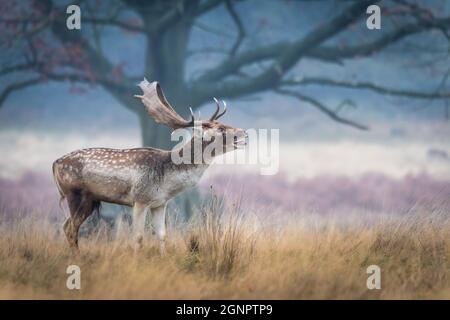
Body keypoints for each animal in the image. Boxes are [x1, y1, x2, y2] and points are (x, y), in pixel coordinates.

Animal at [54, 79, 248, 254]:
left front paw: (164, 258)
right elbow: (138, 237)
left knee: (66, 226)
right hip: (75, 194)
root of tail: (55, 163)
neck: (167, 180)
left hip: (90, 200)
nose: (244, 132)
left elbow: (162, 235)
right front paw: (136, 262)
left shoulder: (159, 203)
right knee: (71, 228)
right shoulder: (140, 198)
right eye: (221, 129)